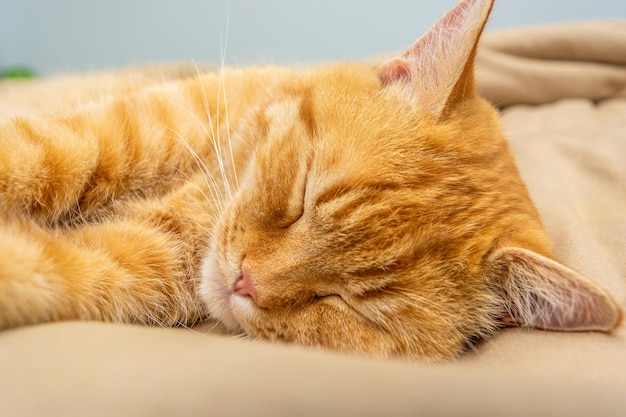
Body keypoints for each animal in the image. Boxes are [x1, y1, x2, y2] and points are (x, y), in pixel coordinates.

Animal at [0, 0, 616, 360]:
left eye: (350, 303)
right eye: (299, 197)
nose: (246, 282)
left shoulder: (127, 262)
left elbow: (41, 266)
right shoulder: (118, 132)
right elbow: (38, 154)